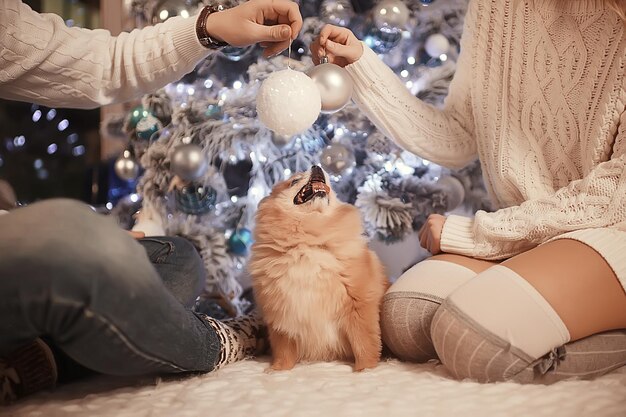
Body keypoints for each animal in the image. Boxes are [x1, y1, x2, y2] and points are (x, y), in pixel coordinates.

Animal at [247, 164, 386, 368]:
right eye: (294, 181)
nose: (317, 166)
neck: (307, 243)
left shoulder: (359, 307)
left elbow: (364, 345)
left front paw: (366, 370)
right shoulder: (281, 314)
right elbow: (283, 350)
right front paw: (278, 370)